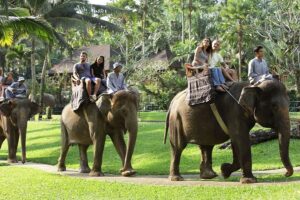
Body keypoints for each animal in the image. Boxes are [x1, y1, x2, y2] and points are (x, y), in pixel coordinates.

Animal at [164, 79, 292, 184]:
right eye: (274, 106)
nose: (285, 174)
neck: (253, 85)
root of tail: (172, 101)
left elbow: (236, 141)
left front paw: (224, 171)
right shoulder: (234, 112)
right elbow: (240, 139)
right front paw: (249, 181)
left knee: (206, 146)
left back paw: (209, 176)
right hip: (176, 120)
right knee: (178, 147)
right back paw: (177, 178)